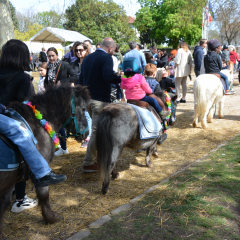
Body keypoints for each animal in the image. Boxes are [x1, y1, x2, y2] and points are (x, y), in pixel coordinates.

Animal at [0, 84, 89, 240]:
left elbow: (2, 206)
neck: (37, 125)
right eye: (83, 108)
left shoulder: (9, 183)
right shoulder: (40, 171)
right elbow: (44, 195)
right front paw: (51, 217)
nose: (87, 134)